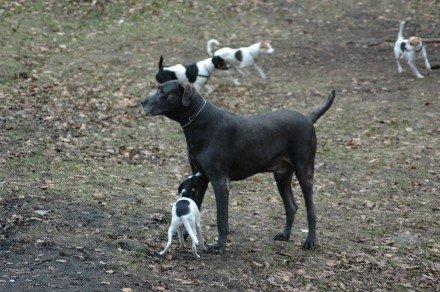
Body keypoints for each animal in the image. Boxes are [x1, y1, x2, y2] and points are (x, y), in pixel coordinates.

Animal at [143, 80, 336, 253]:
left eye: (162, 92)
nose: (142, 102)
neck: (199, 122)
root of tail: (308, 118)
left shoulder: (220, 181)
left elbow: (222, 218)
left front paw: (220, 246)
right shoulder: (200, 177)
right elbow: (194, 205)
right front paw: (185, 235)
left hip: (304, 171)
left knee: (311, 210)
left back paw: (310, 241)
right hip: (282, 175)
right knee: (291, 206)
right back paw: (285, 235)